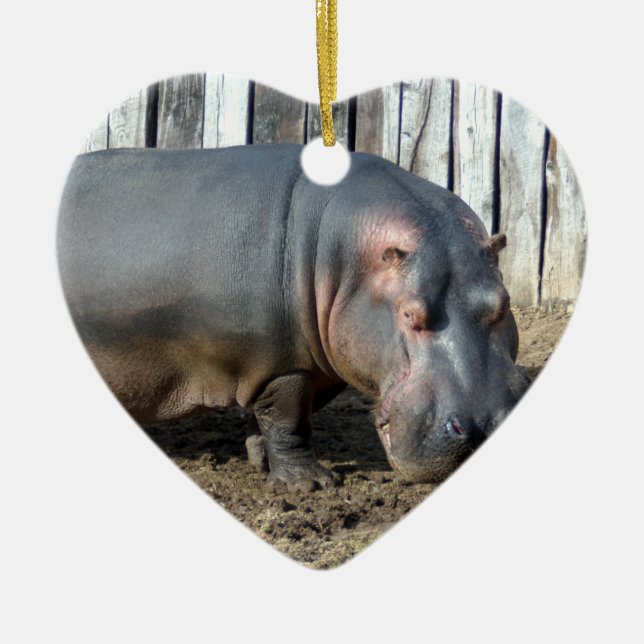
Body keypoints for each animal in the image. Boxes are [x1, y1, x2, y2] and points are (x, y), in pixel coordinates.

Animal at [57, 144, 528, 491]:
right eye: (410, 313)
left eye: (503, 302)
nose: (485, 427)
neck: (340, 255)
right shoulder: (281, 363)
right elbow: (289, 418)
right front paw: (309, 486)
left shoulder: (308, 363)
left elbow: (278, 418)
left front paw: (259, 459)